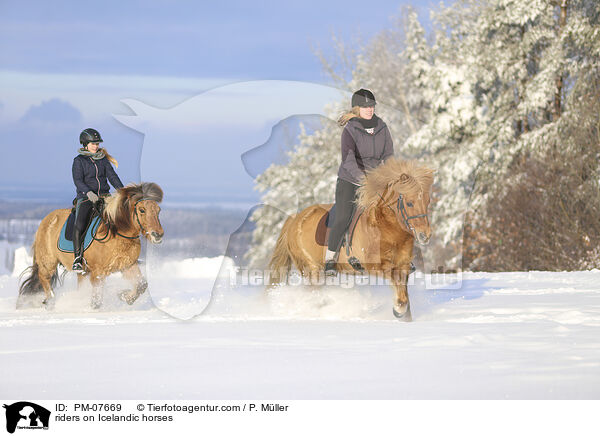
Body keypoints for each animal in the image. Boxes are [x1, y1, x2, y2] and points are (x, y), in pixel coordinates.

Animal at [18, 182, 164, 308]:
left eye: (158, 210)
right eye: (142, 210)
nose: (158, 235)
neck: (117, 232)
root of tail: (46, 220)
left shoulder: (128, 265)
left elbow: (142, 285)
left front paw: (124, 296)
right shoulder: (98, 272)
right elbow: (97, 300)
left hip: (82, 272)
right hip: (48, 262)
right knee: (44, 278)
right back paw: (51, 302)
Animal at [266, 158, 432, 318]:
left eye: (427, 201)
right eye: (409, 203)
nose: (425, 235)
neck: (386, 228)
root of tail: (294, 219)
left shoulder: (403, 265)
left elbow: (404, 293)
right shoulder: (375, 266)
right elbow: (398, 289)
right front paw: (397, 309)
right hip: (312, 270)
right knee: (314, 295)